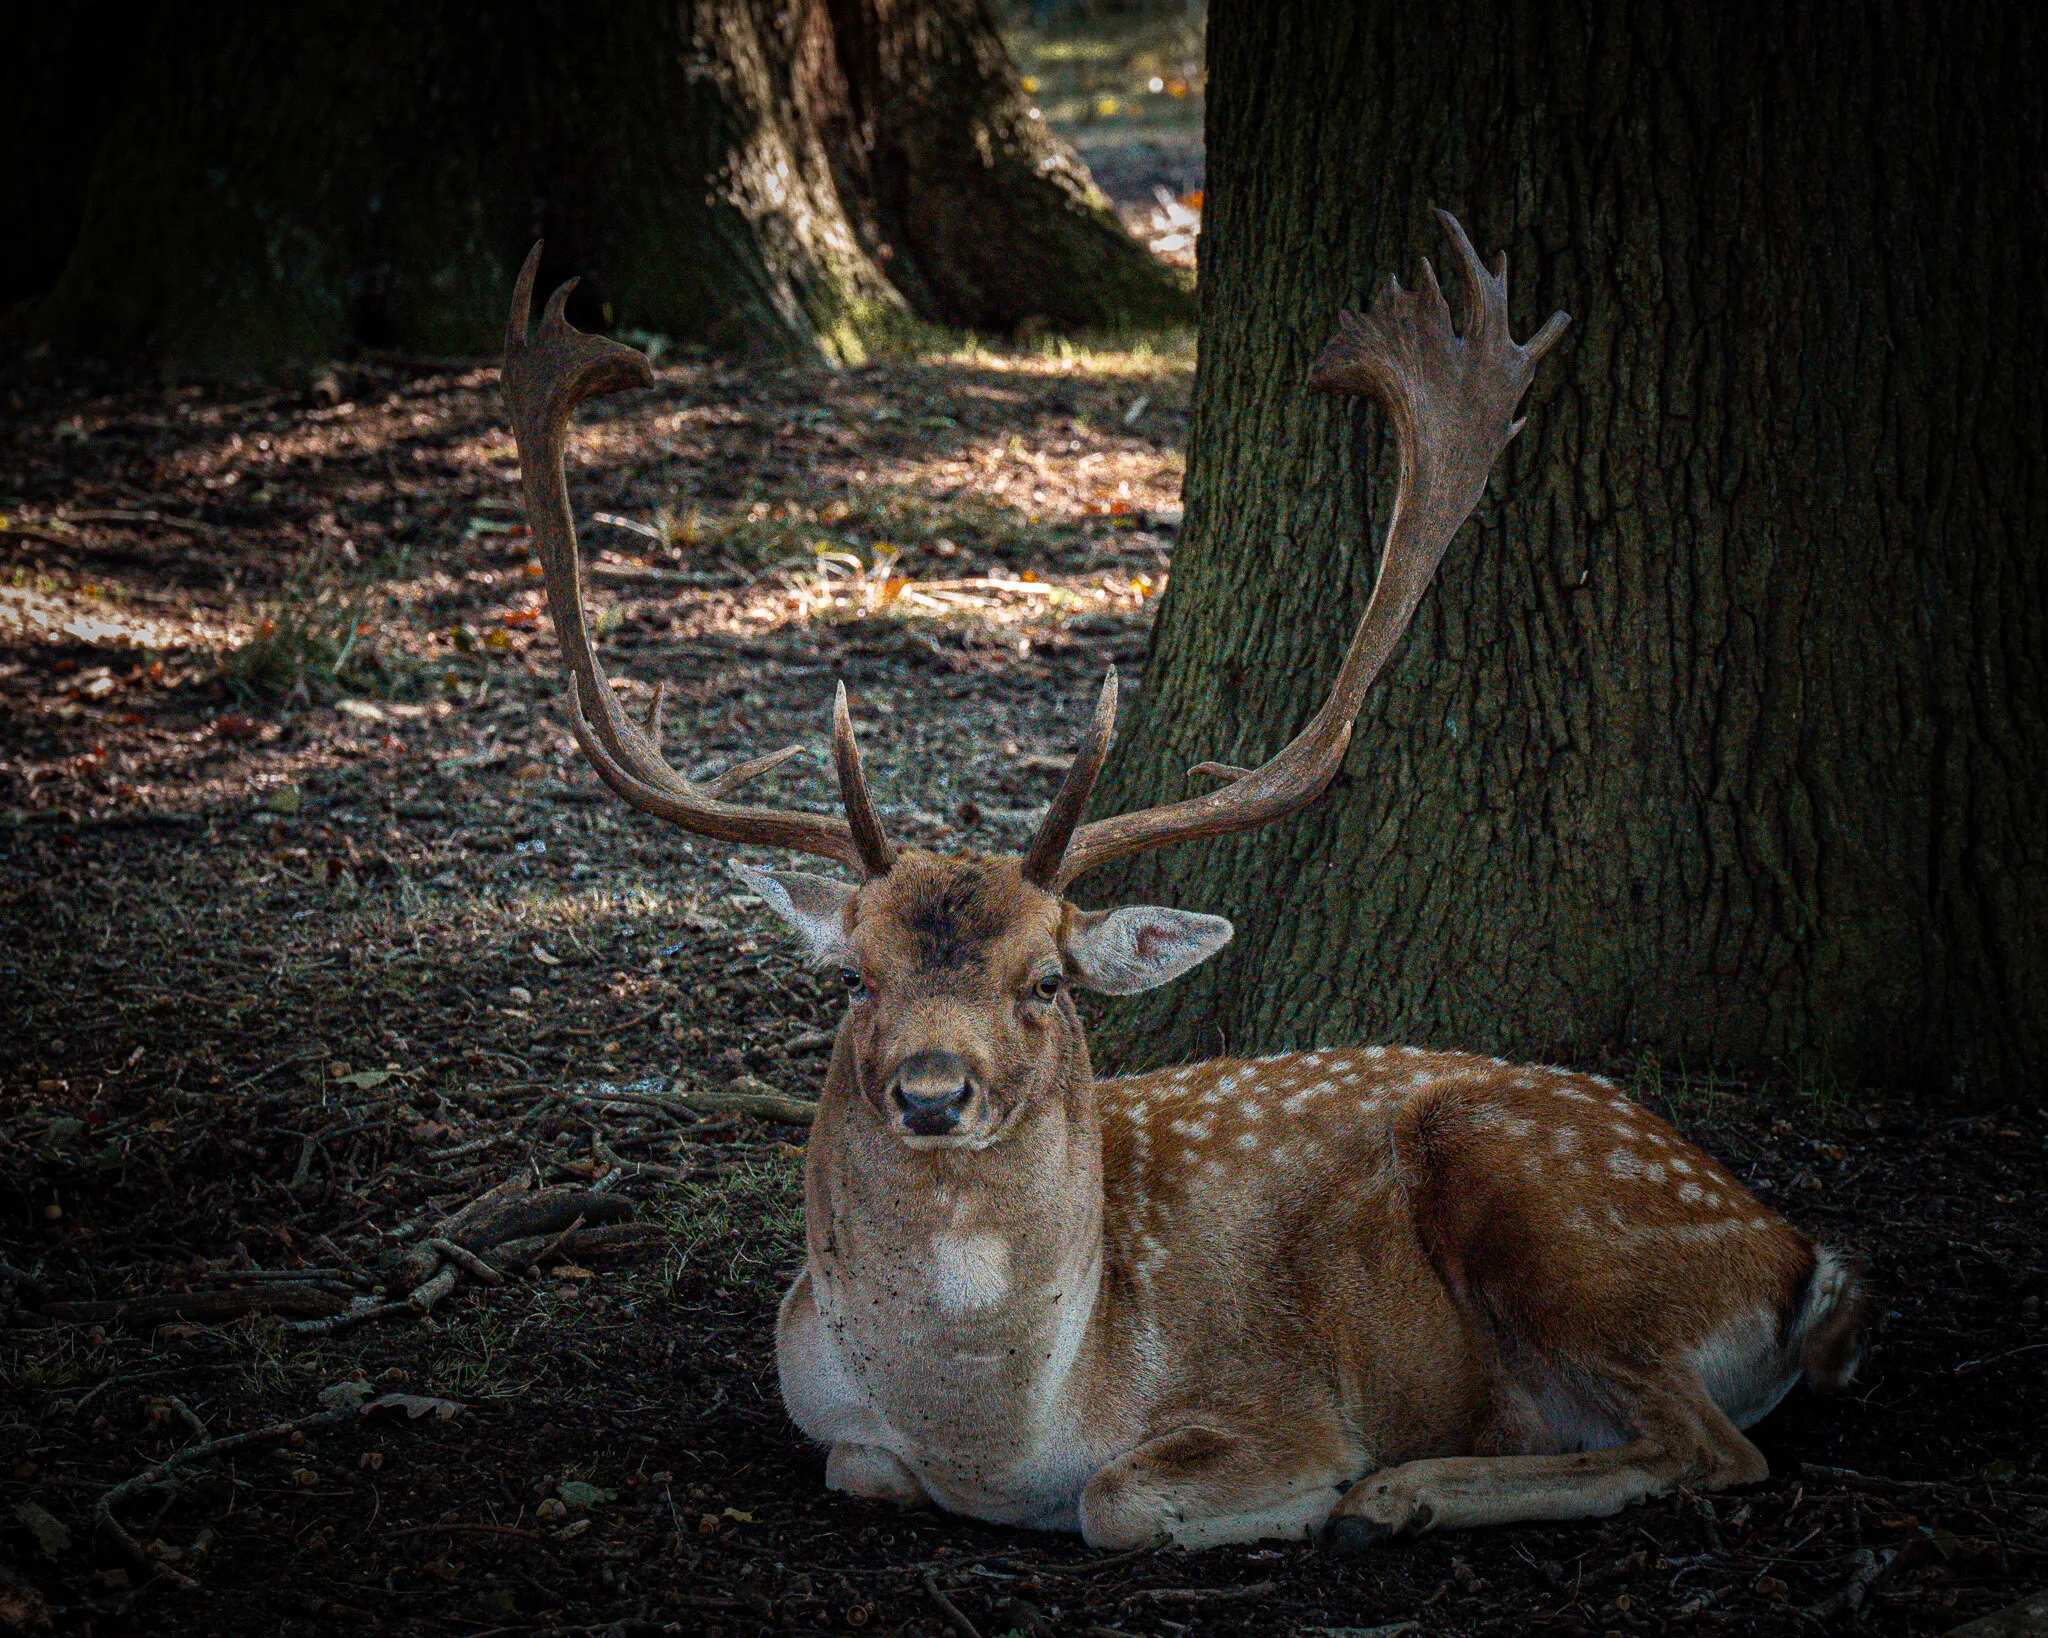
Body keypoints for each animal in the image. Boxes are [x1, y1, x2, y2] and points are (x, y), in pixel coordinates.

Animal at [501, 211, 1866, 1551]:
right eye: (853, 981)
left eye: (1045, 982)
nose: (931, 1093)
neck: (1003, 1434)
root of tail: (1793, 1255)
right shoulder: (830, 1419)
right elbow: (864, 1471)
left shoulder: (1274, 1402)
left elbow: (1119, 1502)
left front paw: (1323, 1494)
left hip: (1560, 1211)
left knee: (1711, 1446)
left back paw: (1406, 1490)